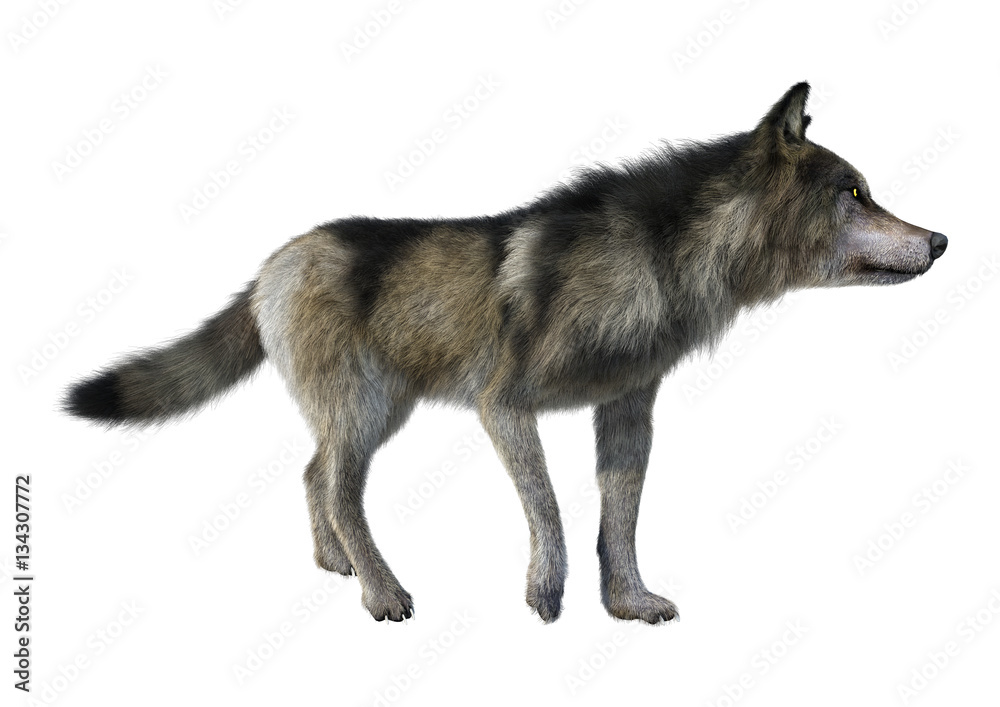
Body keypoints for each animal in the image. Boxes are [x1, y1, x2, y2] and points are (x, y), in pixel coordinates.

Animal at [65, 83, 947, 624]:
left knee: (313, 475)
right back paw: (381, 592)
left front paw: (627, 603)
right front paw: (545, 592)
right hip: (370, 412)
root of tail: (271, 263)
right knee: (338, 488)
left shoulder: (627, 412)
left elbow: (620, 521)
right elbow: (551, 509)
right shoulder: (504, 403)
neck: (665, 261)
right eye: (855, 193)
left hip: (370, 414)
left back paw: (336, 565)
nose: (940, 239)